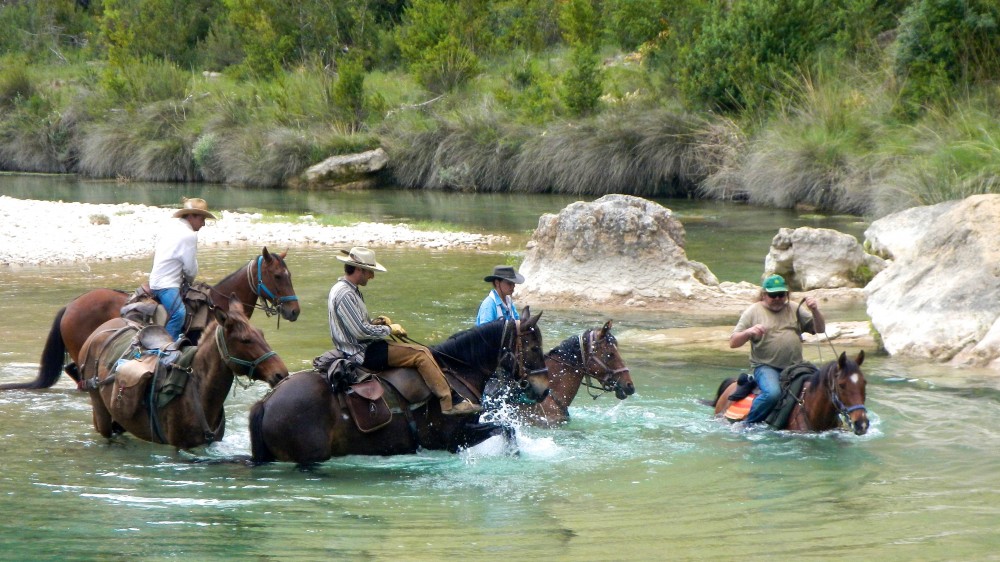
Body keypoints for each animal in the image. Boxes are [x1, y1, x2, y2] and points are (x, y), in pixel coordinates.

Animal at [247, 308, 552, 462]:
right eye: (533, 347)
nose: (544, 388)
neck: (457, 371)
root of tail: (267, 401)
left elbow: (507, 428)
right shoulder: (455, 438)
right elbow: (507, 429)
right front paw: (513, 454)